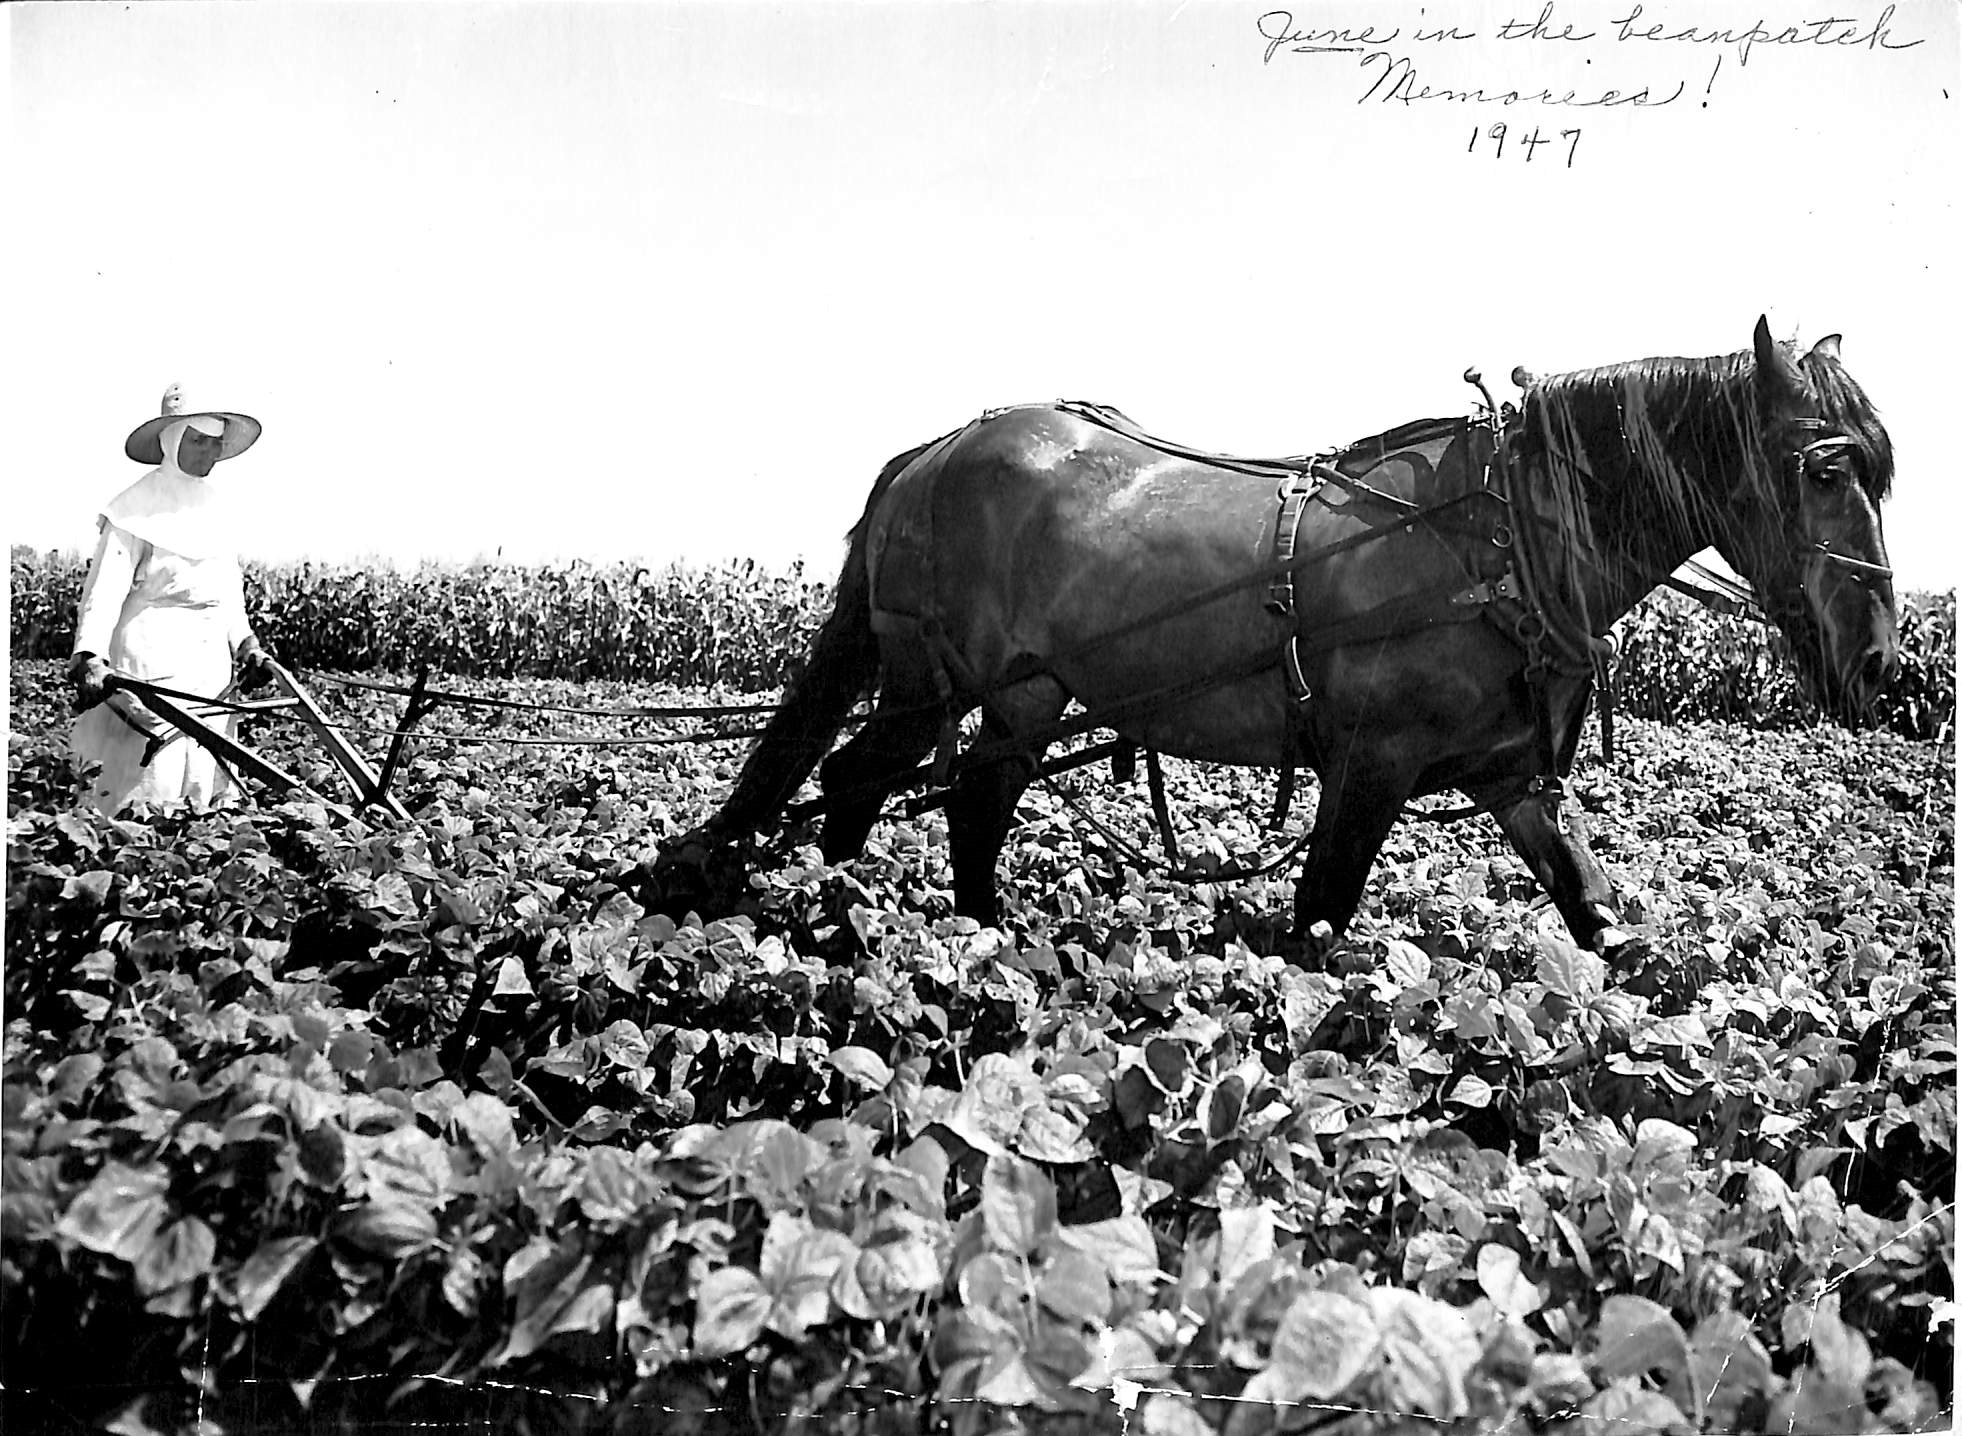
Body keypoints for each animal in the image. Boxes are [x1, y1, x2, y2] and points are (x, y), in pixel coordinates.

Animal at [663, 319, 1899, 957]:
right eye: (1826, 469)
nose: (1884, 662)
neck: (1498, 535)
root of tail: (929, 452)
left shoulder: (1512, 776)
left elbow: (1592, 914)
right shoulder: (1369, 764)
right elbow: (1318, 923)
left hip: (1025, 693)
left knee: (969, 797)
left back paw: (983, 947)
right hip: (934, 682)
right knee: (857, 780)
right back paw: (850, 938)